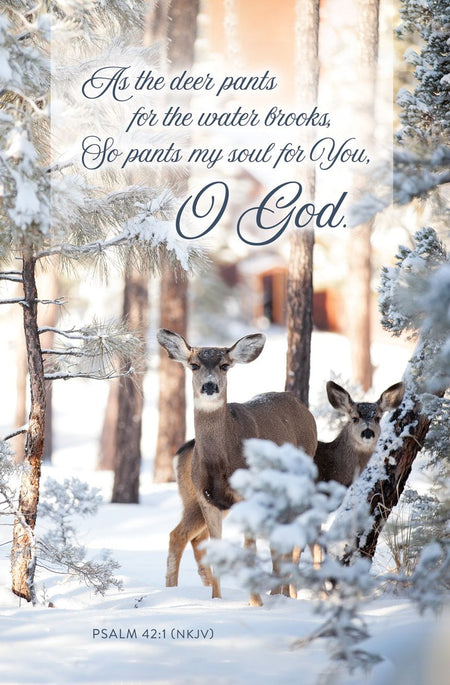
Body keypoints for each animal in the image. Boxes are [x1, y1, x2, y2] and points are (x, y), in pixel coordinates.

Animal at [157, 328, 318, 606]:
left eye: (224, 365)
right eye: (194, 365)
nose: (210, 386)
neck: (220, 461)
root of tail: (300, 405)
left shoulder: (247, 496)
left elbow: (249, 548)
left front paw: (255, 603)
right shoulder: (207, 498)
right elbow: (216, 547)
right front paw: (216, 599)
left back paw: (283, 594)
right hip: (197, 501)